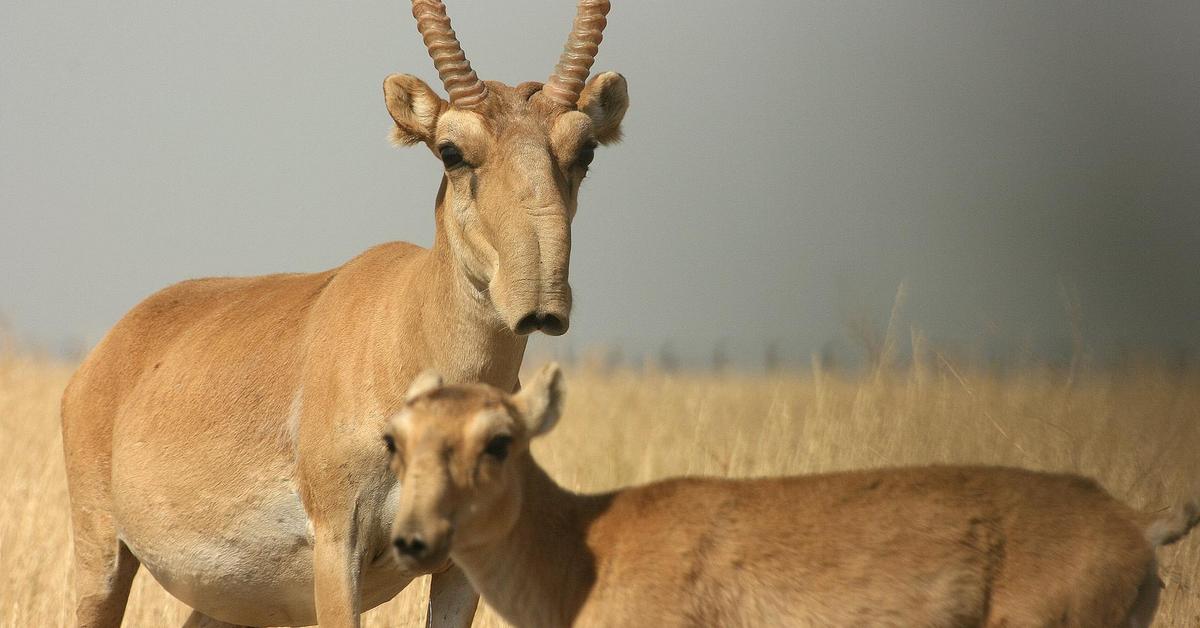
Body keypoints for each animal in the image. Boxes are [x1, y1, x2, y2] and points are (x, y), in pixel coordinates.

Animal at [58, 2, 628, 624]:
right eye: (451, 151)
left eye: (585, 151)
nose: (540, 301)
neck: (406, 325)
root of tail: (106, 354)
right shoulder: (338, 549)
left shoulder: (459, 568)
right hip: (102, 559)